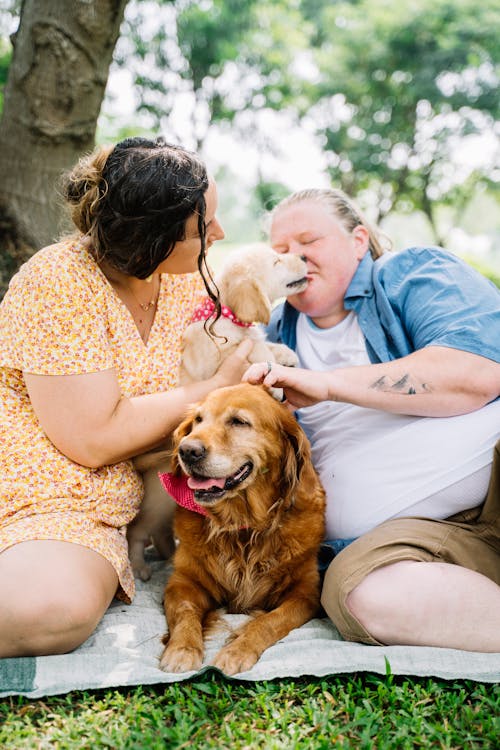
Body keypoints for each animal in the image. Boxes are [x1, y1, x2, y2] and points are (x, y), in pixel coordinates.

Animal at [127, 247, 306, 580]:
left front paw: (285, 354)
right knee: (138, 532)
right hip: (158, 503)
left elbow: (262, 343)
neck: (227, 316)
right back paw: (139, 566)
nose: (302, 256)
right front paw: (269, 370)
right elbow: (251, 349)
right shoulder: (216, 361)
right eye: (276, 261)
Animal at [158, 384, 326, 680]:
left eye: (239, 422)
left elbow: (270, 621)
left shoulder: (305, 593)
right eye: (198, 420)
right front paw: (182, 650)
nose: (187, 450)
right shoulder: (183, 582)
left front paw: (237, 650)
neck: (242, 527)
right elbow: (186, 612)